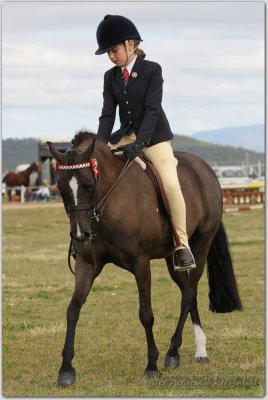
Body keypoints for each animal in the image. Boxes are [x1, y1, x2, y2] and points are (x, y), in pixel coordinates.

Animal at [47, 130, 242, 384]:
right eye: (60, 188)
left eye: (89, 185)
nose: (81, 234)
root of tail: (206, 169)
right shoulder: (87, 264)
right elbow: (73, 310)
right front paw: (66, 369)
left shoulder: (141, 263)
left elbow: (146, 314)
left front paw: (152, 365)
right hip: (171, 258)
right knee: (189, 293)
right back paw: (199, 350)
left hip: (201, 246)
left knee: (188, 295)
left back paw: (173, 352)